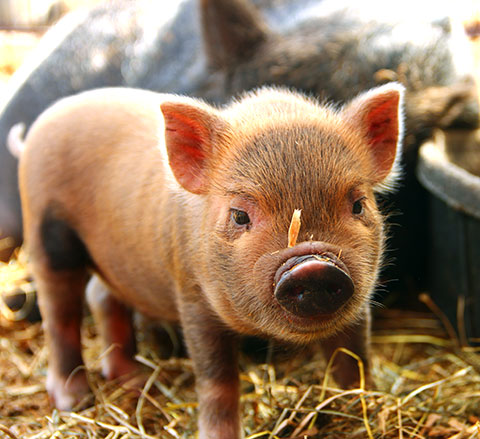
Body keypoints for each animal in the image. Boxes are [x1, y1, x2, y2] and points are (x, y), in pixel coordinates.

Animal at [16, 81, 404, 436]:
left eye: (358, 205)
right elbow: (218, 381)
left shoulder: (360, 299)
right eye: (240, 215)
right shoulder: (193, 300)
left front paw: (365, 411)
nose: (313, 267)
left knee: (99, 296)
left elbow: (355, 360)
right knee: (60, 315)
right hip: (46, 234)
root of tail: (45, 120)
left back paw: (135, 381)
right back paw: (74, 401)